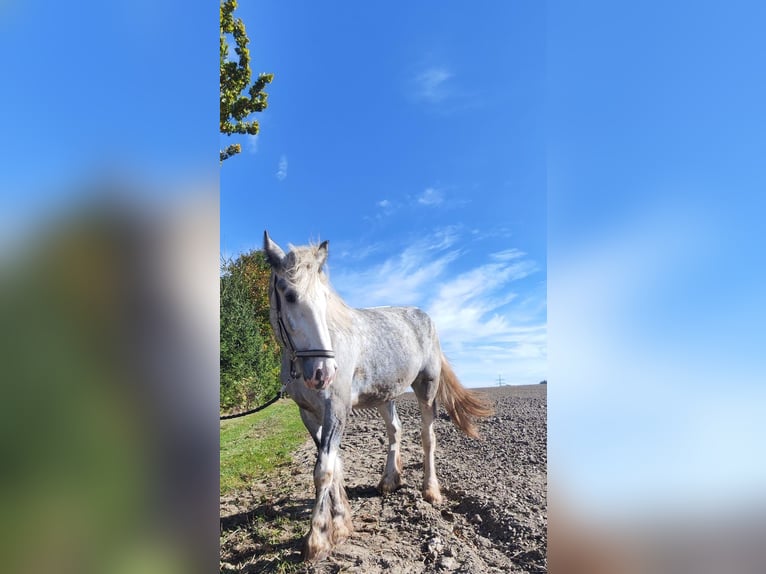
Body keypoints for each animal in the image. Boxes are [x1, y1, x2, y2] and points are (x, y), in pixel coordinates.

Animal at [263, 231, 494, 562]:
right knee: (395, 430)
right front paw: (340, 524)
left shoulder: (337, 409)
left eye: (324, 299)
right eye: (290, 296)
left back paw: (431, 491)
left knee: (428, 437)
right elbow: (333, 464)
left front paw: (317, 539)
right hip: (385, 396)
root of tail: (425, 317)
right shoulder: (307, 413)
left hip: (427, 387)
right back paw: (389, 481)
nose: (323, 372)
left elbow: (324, 470)